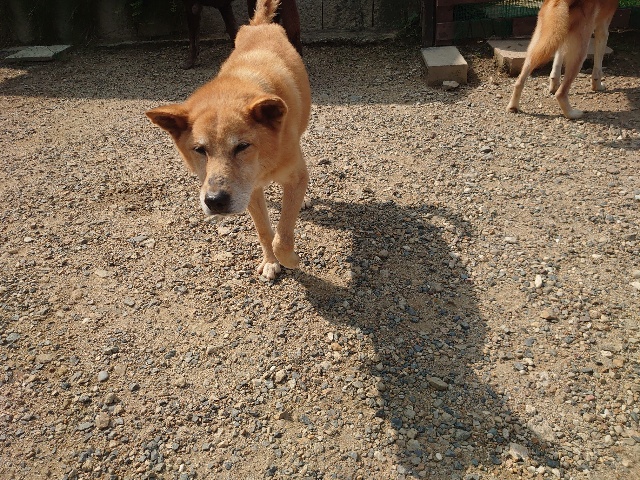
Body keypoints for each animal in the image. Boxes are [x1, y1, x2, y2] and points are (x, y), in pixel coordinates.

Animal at [147, 0, 311, 280]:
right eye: (199, 149)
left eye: (242, 146)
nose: (215, 201)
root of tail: (260, 25)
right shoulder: (249, 190)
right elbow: (265, 231)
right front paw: (271, 261)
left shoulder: (295, 176)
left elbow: (283, 234)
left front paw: (290, 259)